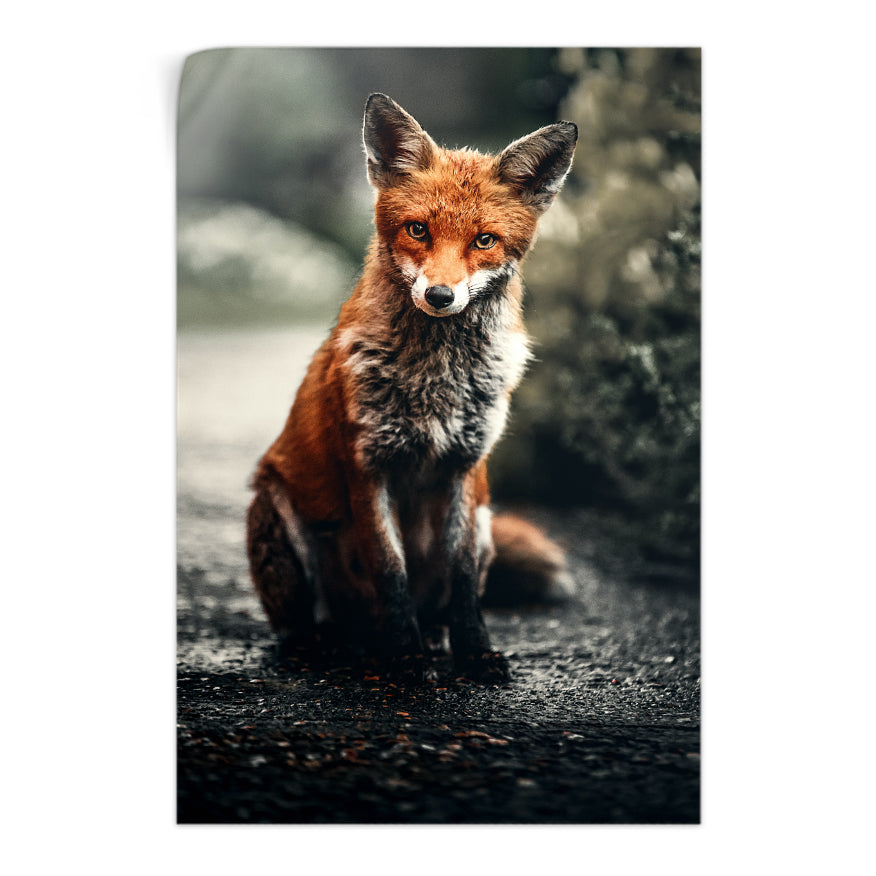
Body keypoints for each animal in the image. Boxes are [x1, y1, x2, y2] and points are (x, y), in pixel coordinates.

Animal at [246, 93, 577, 683]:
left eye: (484, 240)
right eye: (418, 230)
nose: (441, 296)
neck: (436, 380)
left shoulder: (466, 467)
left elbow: (463, 581)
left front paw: (475, 652)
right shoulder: (368, 465)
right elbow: (390, 571)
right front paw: (405, 658)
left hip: (487, 521)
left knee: (441, 603)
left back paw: (432, 639)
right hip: (276, 510)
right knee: (305, 626)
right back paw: (334, 646)